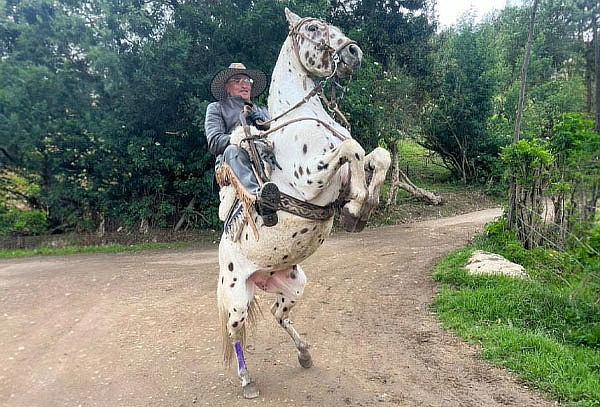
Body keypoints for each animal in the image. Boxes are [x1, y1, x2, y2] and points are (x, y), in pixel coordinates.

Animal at [216, 8, 394, 398]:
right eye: (313, 28)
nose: (354, 51)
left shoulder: (344, 175)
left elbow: (378, 155)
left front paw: (361, 209)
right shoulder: (310, 179)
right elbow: (352, 148)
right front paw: (358, 207)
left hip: (292, 287)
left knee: (277, 315)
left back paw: (305, 354)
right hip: (236, 300)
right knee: (237, 334)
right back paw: (247, 381)